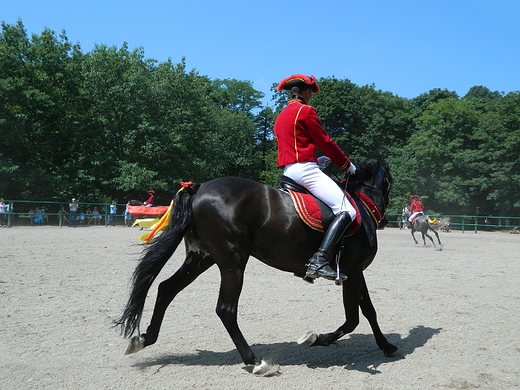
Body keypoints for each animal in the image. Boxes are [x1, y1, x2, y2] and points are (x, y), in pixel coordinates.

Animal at [117, 159, 398, 374]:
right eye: (389, 182)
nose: (384, 220)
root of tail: (198, 188)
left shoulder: (354, 272)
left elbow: (369, 311)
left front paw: (386, 346)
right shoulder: (354, 271)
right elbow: (353, 319)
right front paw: (316, 339)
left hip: (201, 258)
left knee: (166, 288)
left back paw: (144, 338)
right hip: (233, 263)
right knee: (225, 309)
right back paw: (255, 361)